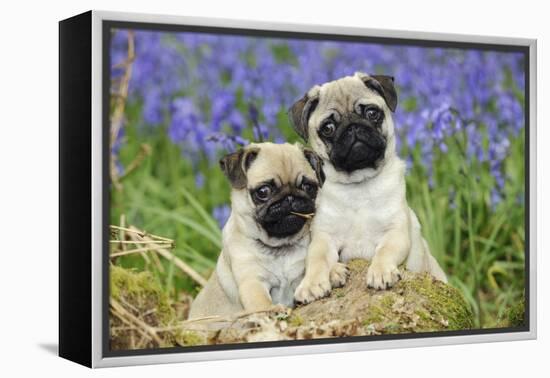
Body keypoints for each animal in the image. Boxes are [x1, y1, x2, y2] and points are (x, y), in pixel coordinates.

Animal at [190, 142, 328, 318]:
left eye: (308, 187)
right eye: (263, 191)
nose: (290, 198)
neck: (280, 246)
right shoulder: (252, 280)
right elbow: (260, 300)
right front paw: (272, 310)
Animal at [288, 71, 448, 304]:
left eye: (372, 113)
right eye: (328, 128)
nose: (353, 127)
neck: (359, 185)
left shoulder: (395, 231)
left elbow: (385, 251)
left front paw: (380, 271)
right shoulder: (323, 238)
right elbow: (316, 261)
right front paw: (311, 284)